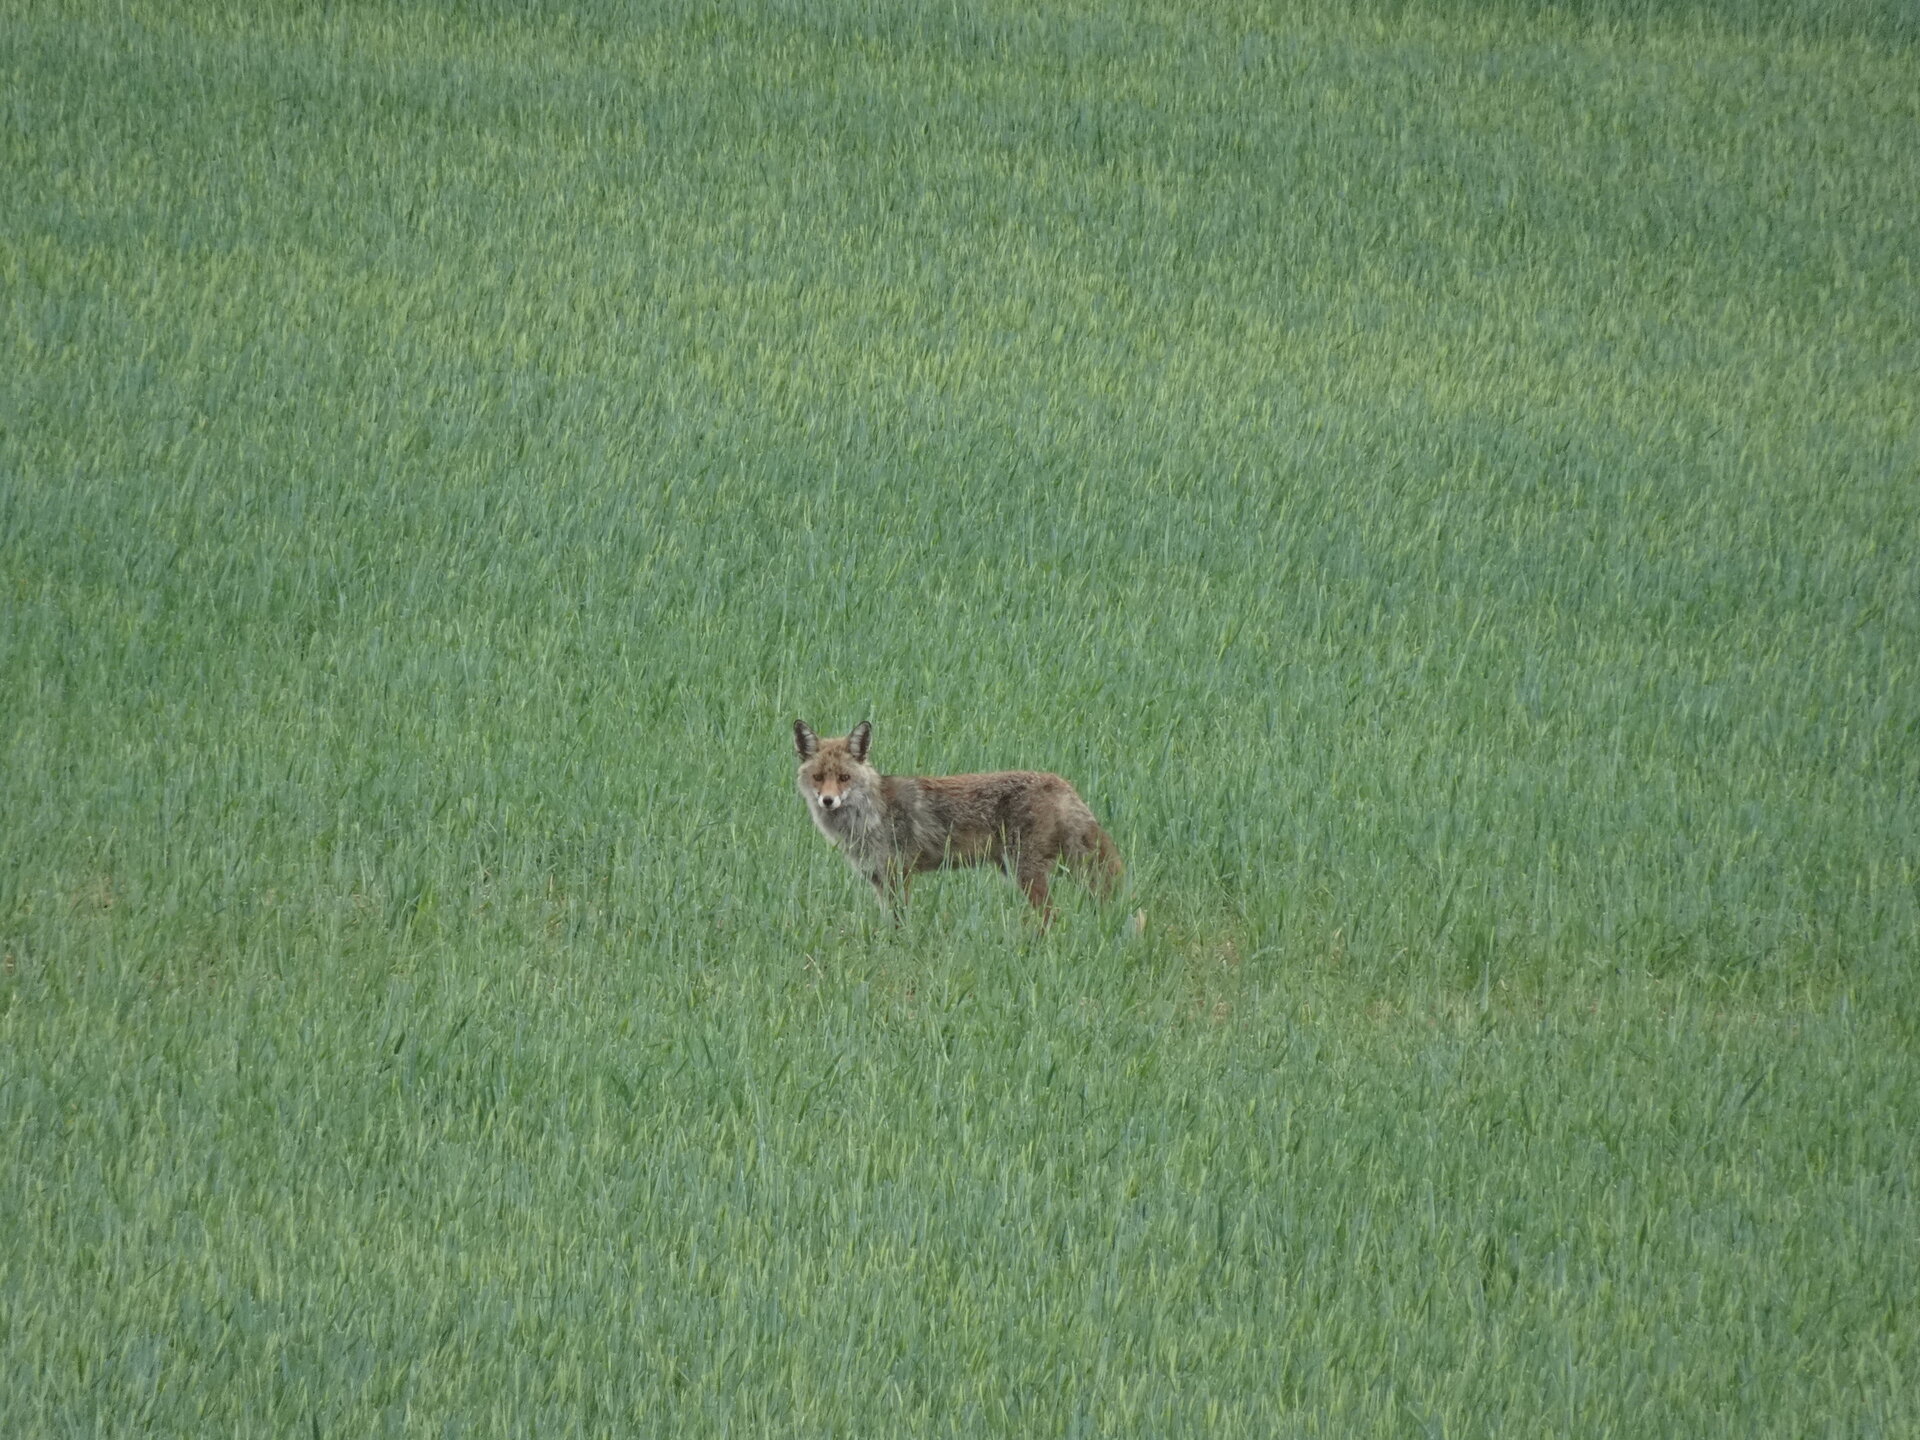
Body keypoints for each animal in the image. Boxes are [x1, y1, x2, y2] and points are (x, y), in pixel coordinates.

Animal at [794, 719, 1122, 927]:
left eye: (844, 778)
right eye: (818, 777)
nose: (828, 801)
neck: (867, 817)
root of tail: (1062, 783)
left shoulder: (900, 875)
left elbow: (900, 926)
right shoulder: (878, 880)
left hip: (1027, 872)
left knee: (1052, 916)